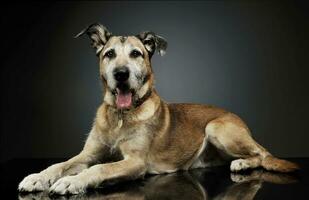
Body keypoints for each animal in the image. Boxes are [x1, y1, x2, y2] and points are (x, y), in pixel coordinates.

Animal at [18, 22, 298, 195]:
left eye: (136, 54)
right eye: (109, 54)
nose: (121, 74)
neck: (121, 116)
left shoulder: (135, 162)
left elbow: (100, 168)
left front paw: (72, 182)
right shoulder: (88, 154)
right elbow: (61, 163)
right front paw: (38, 177)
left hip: (217, 129)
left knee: (262, 154)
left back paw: (242, 164)